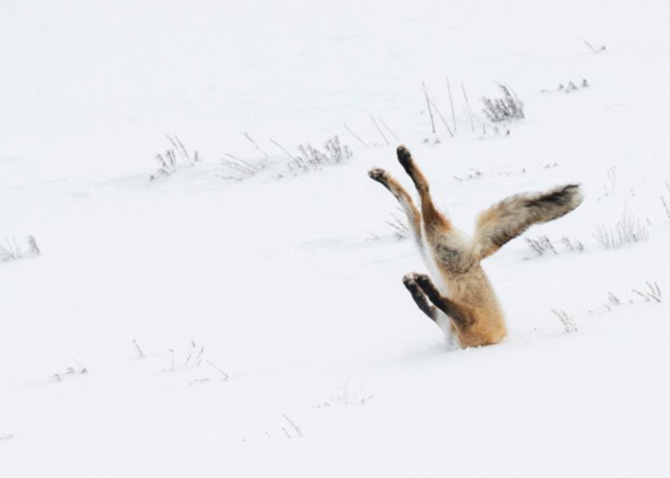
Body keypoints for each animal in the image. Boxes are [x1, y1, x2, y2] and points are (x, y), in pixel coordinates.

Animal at [370, 146, 584, 348]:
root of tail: (475, 252)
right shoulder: (450, 321)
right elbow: (425, 304)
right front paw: (415, 285)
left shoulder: (466, 322)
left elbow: (435, 301)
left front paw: (422, 285)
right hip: (427, 245)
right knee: (410, 201)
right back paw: (384, 174)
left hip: (435, 246)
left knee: (423, 194)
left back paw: (402, 162)